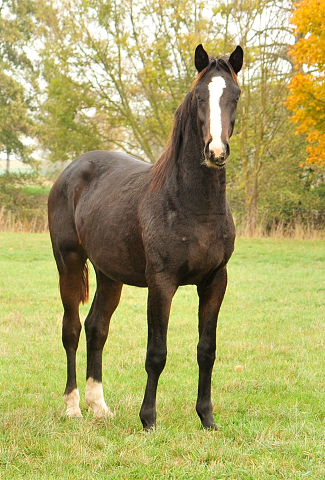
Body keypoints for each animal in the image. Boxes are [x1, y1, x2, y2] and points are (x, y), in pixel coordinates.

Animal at [47, 43, 240, 430]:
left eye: (235, 96)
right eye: (200, 96)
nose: (216, 152)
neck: (191, 205)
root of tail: (71, 171)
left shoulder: (215, 281)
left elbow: (206, 350)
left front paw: (206, 418)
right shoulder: (161, 283)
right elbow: (157, 353)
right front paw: (148, 419)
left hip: (109, 275)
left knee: (96, 327)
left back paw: (99, 406)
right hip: (69, 265)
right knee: (72, 329)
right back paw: (73, 407)